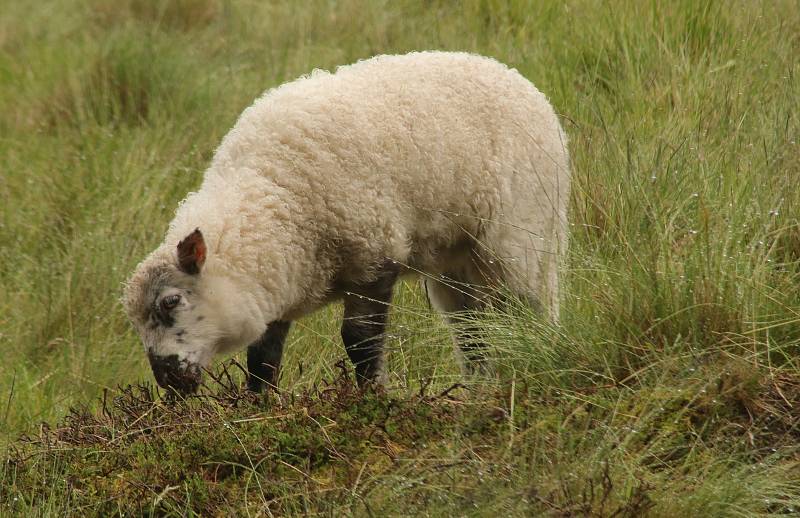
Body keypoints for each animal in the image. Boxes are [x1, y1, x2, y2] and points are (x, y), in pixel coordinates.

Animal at [122, 51, 568, 394]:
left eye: (171, 302)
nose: (167, 381)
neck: (271, 193)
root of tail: (521, 82)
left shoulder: (374, 256)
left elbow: (360, 342)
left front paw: (372, 398)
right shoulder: (277, 276)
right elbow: (263, 359)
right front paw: (258, 407)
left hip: (522, 235)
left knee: (529, 312)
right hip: (457, 262)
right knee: (472, 331)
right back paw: (478, 390)